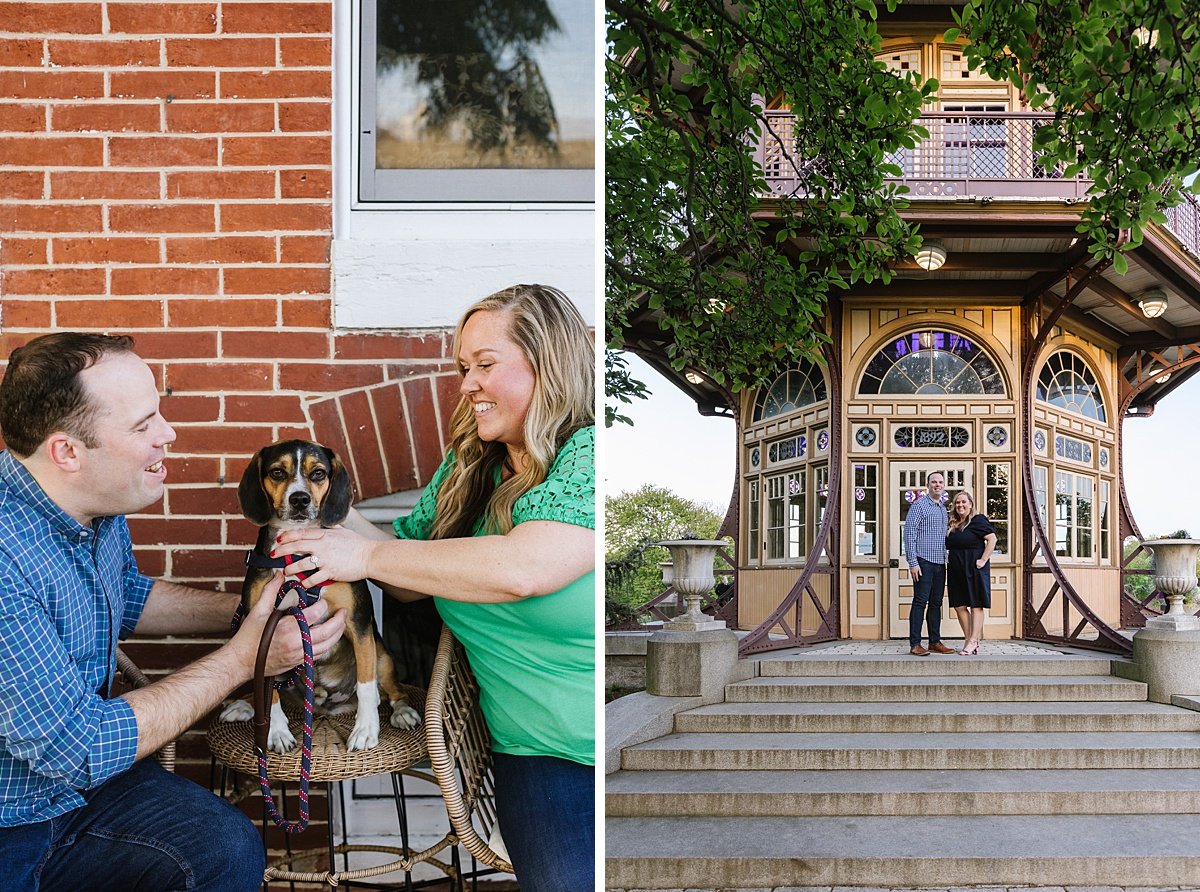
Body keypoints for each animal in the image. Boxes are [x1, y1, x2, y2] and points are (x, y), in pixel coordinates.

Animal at [218, 439, 420, 753]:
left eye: (318, 474)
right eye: (277, 472)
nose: (299, 499)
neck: (299, 553)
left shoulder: (358, 624)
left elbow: (365, 683)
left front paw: (366, 730)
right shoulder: (265, 633)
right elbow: (268, 693)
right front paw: (276, 731)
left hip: (383, 653)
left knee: (390, 690)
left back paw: (402, 712)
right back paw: (244, 706)